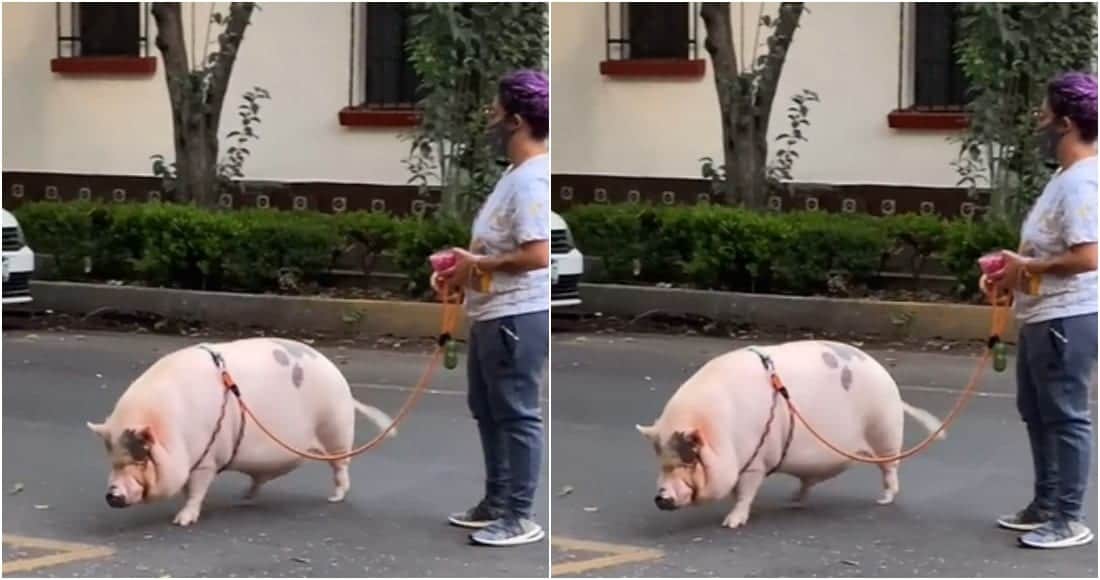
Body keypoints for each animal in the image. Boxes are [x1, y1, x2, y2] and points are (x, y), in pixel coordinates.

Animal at [85, 337, 395, 526]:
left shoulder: (207, 458)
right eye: (113, 460)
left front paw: (181, 521)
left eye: (139, 459)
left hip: (336, 429)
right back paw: (243, 498)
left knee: (340, 467)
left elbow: (196, 490)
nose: (112, 495)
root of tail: (344, 385)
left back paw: (335, 498)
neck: (173, 432)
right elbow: (188, 489)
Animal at [635, 340, 945, 529]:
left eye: (687, 460)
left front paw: (730, 523)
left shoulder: (756, 460)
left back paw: (883, 500)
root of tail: (891, 385)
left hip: (886, 432)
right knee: (809, 483)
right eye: (661, 462)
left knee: (890, 469)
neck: (721, 433)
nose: (660, 498)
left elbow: (745, 493)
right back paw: (793, 501)